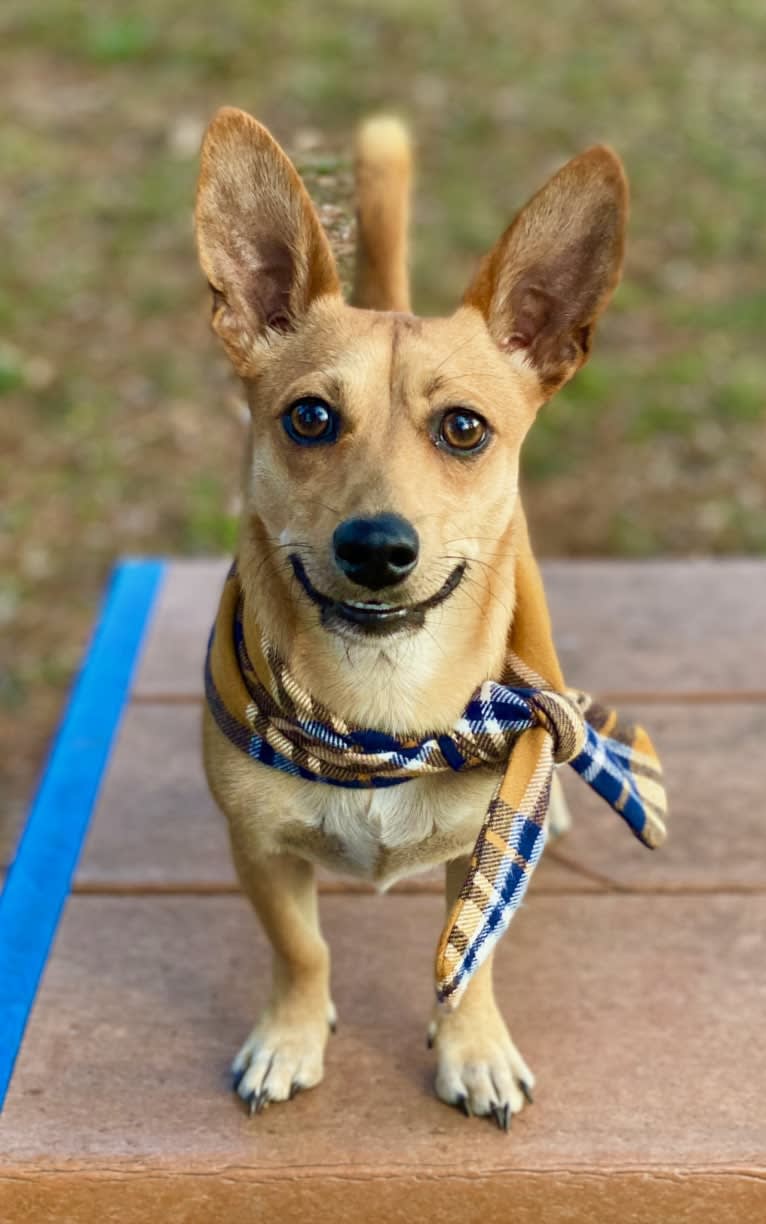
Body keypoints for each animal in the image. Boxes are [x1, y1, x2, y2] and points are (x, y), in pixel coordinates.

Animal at [193, 110, 624, 1130]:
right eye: (309, 418)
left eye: (463, 428)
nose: (378, 546)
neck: (379, 712)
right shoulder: (258, 851)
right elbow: (302, 948)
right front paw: (291, 1039)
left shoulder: (483, 856)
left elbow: (472, 964)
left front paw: (475, 1052)